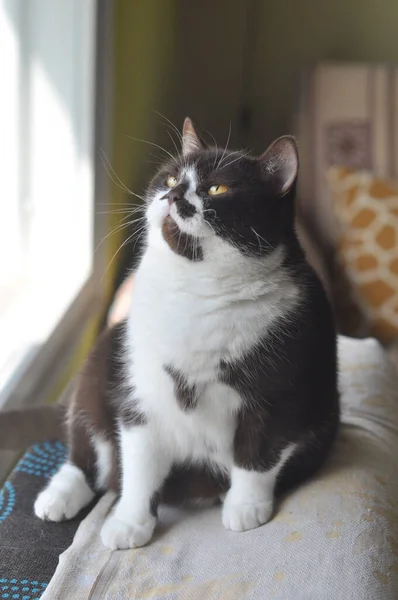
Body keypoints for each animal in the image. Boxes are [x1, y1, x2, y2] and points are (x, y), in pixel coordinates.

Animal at [3, 119, 338, 552]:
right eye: (173, 177)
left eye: (217, 188)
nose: (173, 194)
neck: (197, 292)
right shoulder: (141, 389)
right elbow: (139, 462)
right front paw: (129, 523)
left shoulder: (280, 391)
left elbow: (257, 453)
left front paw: (246, 508)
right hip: (102, 358)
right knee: (87, 449)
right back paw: (58, 497)